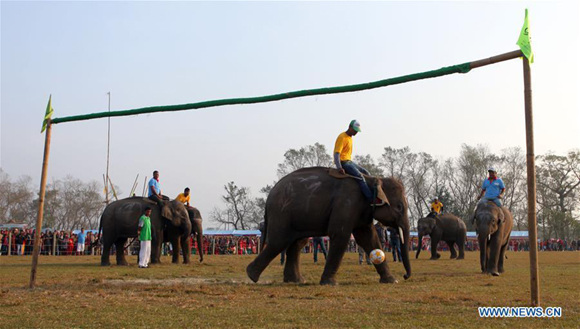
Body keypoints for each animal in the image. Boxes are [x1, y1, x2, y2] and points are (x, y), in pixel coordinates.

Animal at [246, 167, 412, 284]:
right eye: (399, 207)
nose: (405, 276)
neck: (371, 180)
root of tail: (269, 196)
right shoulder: (346, 203)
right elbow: (340, 235)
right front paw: (329, 283)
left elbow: (368, 238)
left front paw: (391, 281)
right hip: (281, 214)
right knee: (279, 242)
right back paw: (252, 275)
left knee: (297, 243)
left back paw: (295, 281)